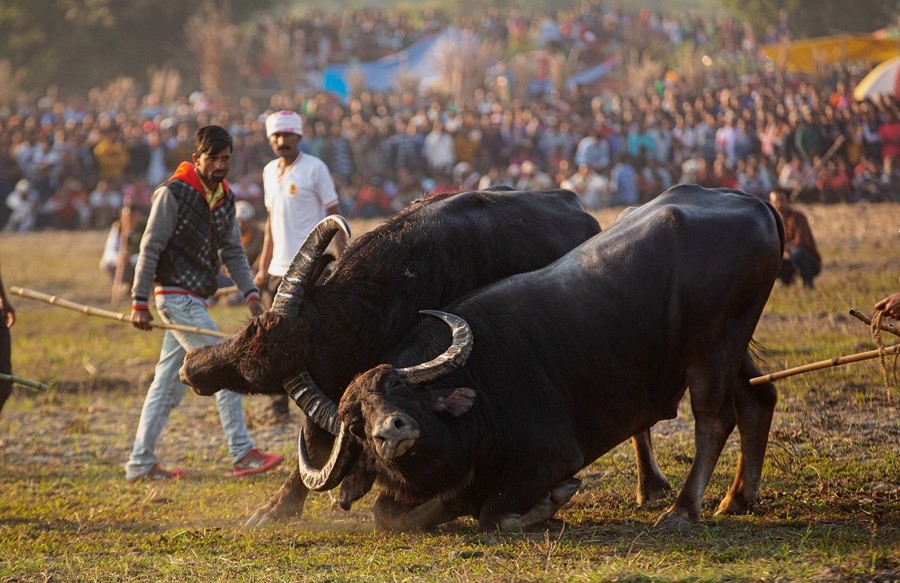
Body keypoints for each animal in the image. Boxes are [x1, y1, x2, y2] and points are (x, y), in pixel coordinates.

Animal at [298, 185, 784, 532]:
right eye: (356, 424)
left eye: (399, 386)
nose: (391, 431)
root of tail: (755, 203)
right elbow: (389, 515)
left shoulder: (553, 456)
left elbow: (492, 512)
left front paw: (547, 503)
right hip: (731, 343)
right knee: (757, 400)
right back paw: (737, 499)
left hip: (714, 344)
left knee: (714, 418)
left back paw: (683, 510)